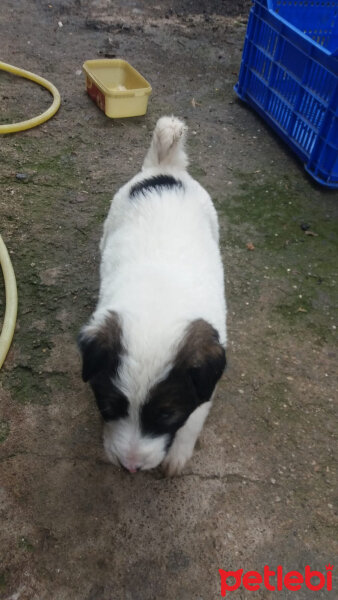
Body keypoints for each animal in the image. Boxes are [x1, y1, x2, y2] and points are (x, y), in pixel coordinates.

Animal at [78, 115, 227, 476]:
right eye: (108, 405)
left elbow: (194, 419)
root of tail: (165, 168)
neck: (159, 303)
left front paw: (177, 456)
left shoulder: (206, 383)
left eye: (167, 415)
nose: (130, 468)